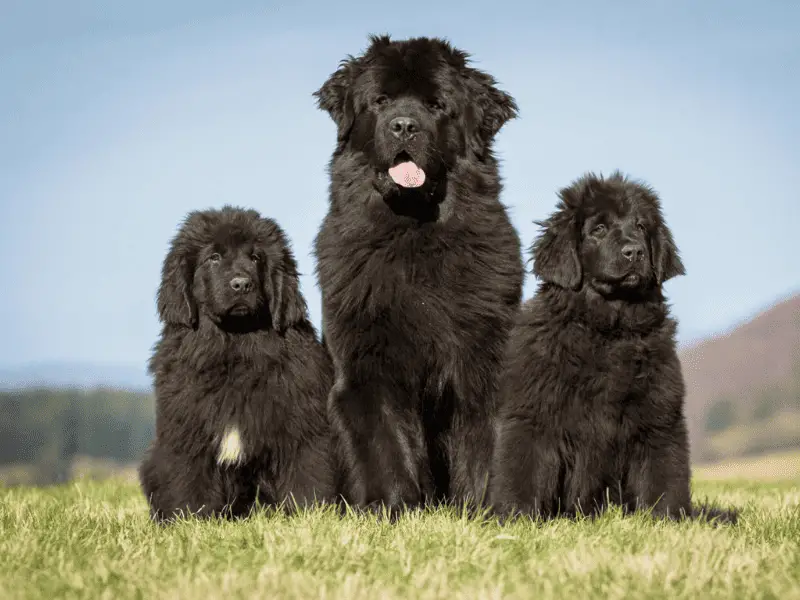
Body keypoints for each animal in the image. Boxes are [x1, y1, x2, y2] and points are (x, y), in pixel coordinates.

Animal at [139, 209, 336, 524]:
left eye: (255, 258)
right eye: (214, 257)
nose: (241, 284)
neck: (235, 347)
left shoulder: (301, 427)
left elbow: (306, 477)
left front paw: (309, 517)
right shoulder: (188, 432)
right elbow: (189, 482)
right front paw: (192, 521)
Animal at [312, 35, 524, 516]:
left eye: (437, 105)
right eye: (380, 101)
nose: (404, 126)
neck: (414, 235)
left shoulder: (484, 359)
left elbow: (483, 443)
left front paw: (483, 510)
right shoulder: (367, 365)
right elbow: (386, 443)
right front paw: (394, 508)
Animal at [490, 171, 740, 524]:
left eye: (641, 226)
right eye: (598, 229)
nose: (634, 252)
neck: (609, 329)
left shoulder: (659, 416)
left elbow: (662, 477)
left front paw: (667, 522)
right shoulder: (533, 413)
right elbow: (523, 472)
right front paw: (515, 519)